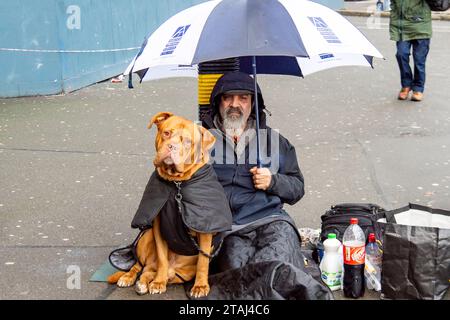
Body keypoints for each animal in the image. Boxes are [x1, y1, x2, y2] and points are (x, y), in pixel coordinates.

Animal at [107, 112, 230, 298]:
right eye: (166, 133)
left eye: (188, 142)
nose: (172, 146)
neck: (176, 184)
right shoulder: (158, 228)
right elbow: (162, 257)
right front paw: (158, 282)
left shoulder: (205, 230)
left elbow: (203, 262)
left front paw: (200, 286)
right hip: (146, 236)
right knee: (141, 266)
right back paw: (131, 278)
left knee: (149, 271)